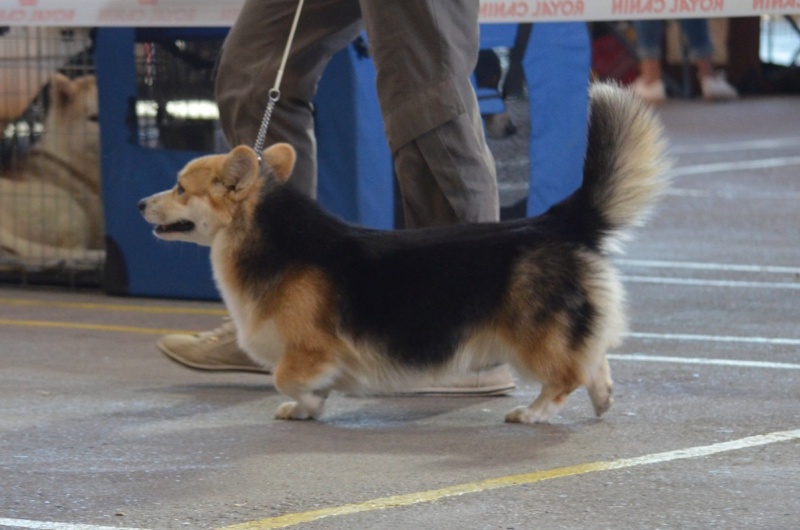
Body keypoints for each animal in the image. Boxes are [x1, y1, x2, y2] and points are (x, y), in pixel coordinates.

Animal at [139, 81, 668, 420]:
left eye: (180, 187)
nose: (141, 203)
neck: (270, 238)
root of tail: (554, 220)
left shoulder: (310, 349)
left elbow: (285, 378)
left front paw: (304, 403)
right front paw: (307, 410)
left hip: (533, 336)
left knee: (566, 375)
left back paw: (532, 413)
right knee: (594, 360)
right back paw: (603, 400)